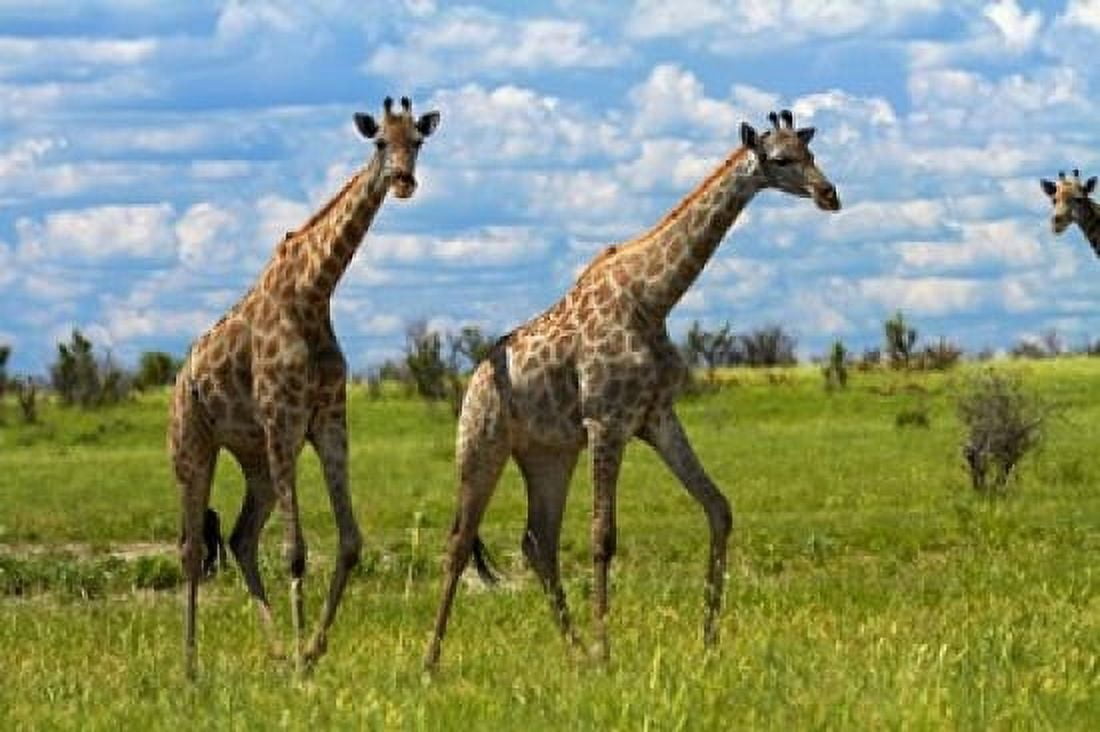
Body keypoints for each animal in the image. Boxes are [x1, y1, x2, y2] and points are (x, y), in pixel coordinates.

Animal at [171, 96, 440, 677]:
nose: (404, 181)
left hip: (255, 459)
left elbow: (350, 542)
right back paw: (191, 665)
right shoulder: (283, 420)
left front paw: (311, 650)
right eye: (379, 142)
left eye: (417, 141)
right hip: (193, 445)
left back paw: (273, 651)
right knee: (190, 547)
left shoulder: (328, 420)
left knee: (240, 538)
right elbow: (295, 550)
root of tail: (180, 378)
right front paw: (302, 661)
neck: (314, 294)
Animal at [424, 109, 840, 668]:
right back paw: (432, 662)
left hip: (548, 454)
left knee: (538, 542)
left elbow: (719, 508)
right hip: (481, 442)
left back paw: (574, 652)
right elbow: (602, 537)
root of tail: (472, 382)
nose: (828, 193)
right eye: (779, 159)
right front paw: (608, 650)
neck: (653, 298)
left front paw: (709, 640)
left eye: (810, 152)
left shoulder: (656, 416)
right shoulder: (607, 421)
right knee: (459, 540)